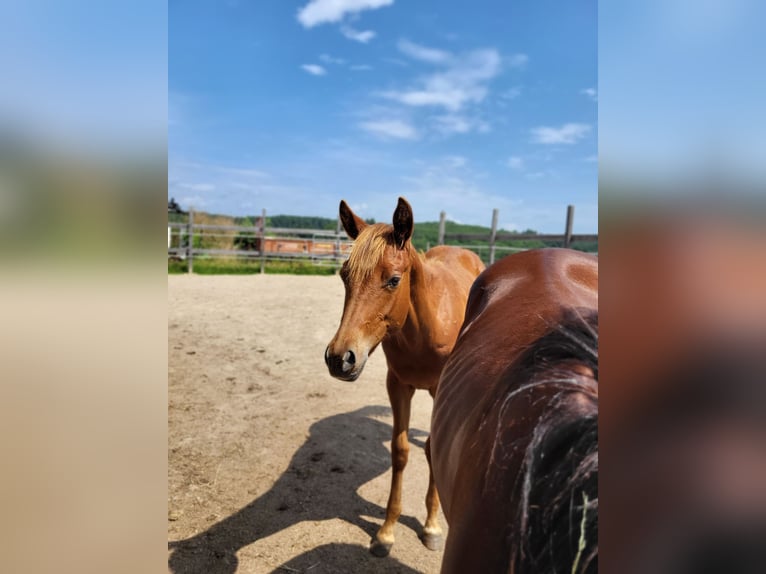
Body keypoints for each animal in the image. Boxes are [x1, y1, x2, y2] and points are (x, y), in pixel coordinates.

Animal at [324, 197, 485, 557]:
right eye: (343, 275)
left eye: (394, 280)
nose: (340, 359)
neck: (425, 329)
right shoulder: (398, 385)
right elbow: (400, 451)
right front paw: (386, 532)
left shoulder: (440, 390)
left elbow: (434, 448)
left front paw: (432, 527)